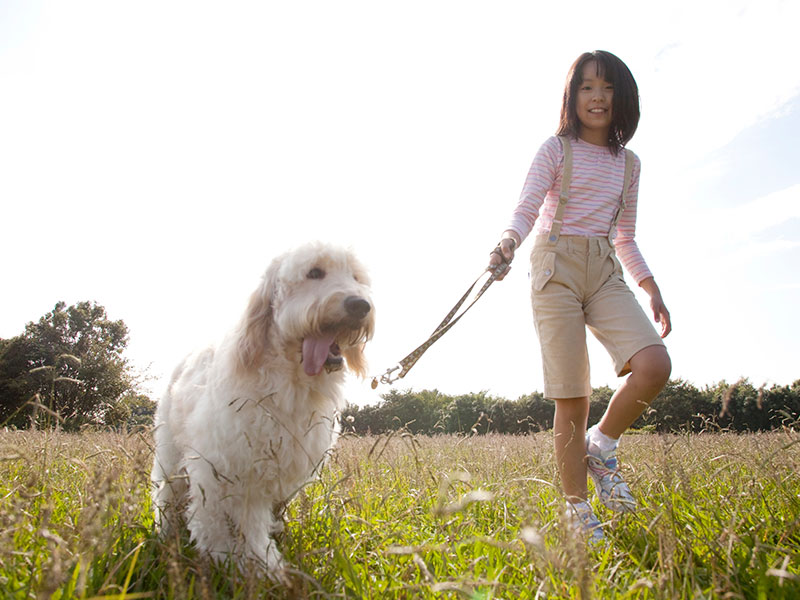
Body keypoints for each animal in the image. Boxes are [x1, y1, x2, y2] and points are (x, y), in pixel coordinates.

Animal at [151, 243, 376, 572]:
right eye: (314, 273)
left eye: (356, 278)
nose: (361, 305)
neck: (290, 383)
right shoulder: (225, 470)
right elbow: (227, 524)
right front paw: (252, 564)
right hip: (170, 455)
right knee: (166, 496)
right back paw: (165, 534)